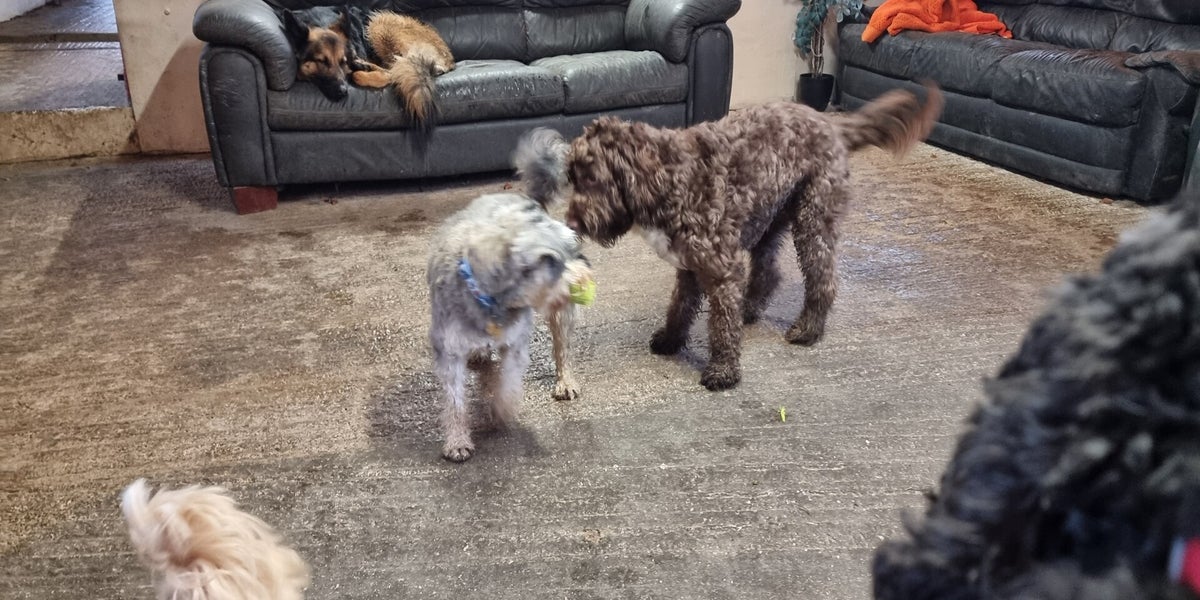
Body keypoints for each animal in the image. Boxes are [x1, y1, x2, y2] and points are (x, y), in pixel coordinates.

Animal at [279, 6, 454, 133]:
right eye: (321, 61)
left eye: (342, 62)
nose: (343, 92)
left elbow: (365, 75)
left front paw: (362, 69)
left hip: (378, 25)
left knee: (398, 68)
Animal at [426, 133, 593, 462]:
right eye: (550, 260)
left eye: (572, 245)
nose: (584, 277)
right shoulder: (449, 352)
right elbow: (454, 401)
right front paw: (457, 440)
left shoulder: (516, 346)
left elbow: (508, 384)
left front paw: (500, 412)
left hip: (561, 316)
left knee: (562, 350)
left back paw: (565, 381)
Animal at [518, 85, 943, 390]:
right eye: (572, 178)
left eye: (591, 178)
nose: (572, 221)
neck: (670, 178)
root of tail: (828, 121)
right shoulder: (690, 265)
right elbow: (680, 307)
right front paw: (671, 340)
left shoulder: (720, 266)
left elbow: (720, 324)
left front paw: (723, 370)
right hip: (770, 218)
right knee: (769, 273)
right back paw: (751, 309)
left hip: (813, 217)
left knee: (823, 277)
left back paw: (808, 329)